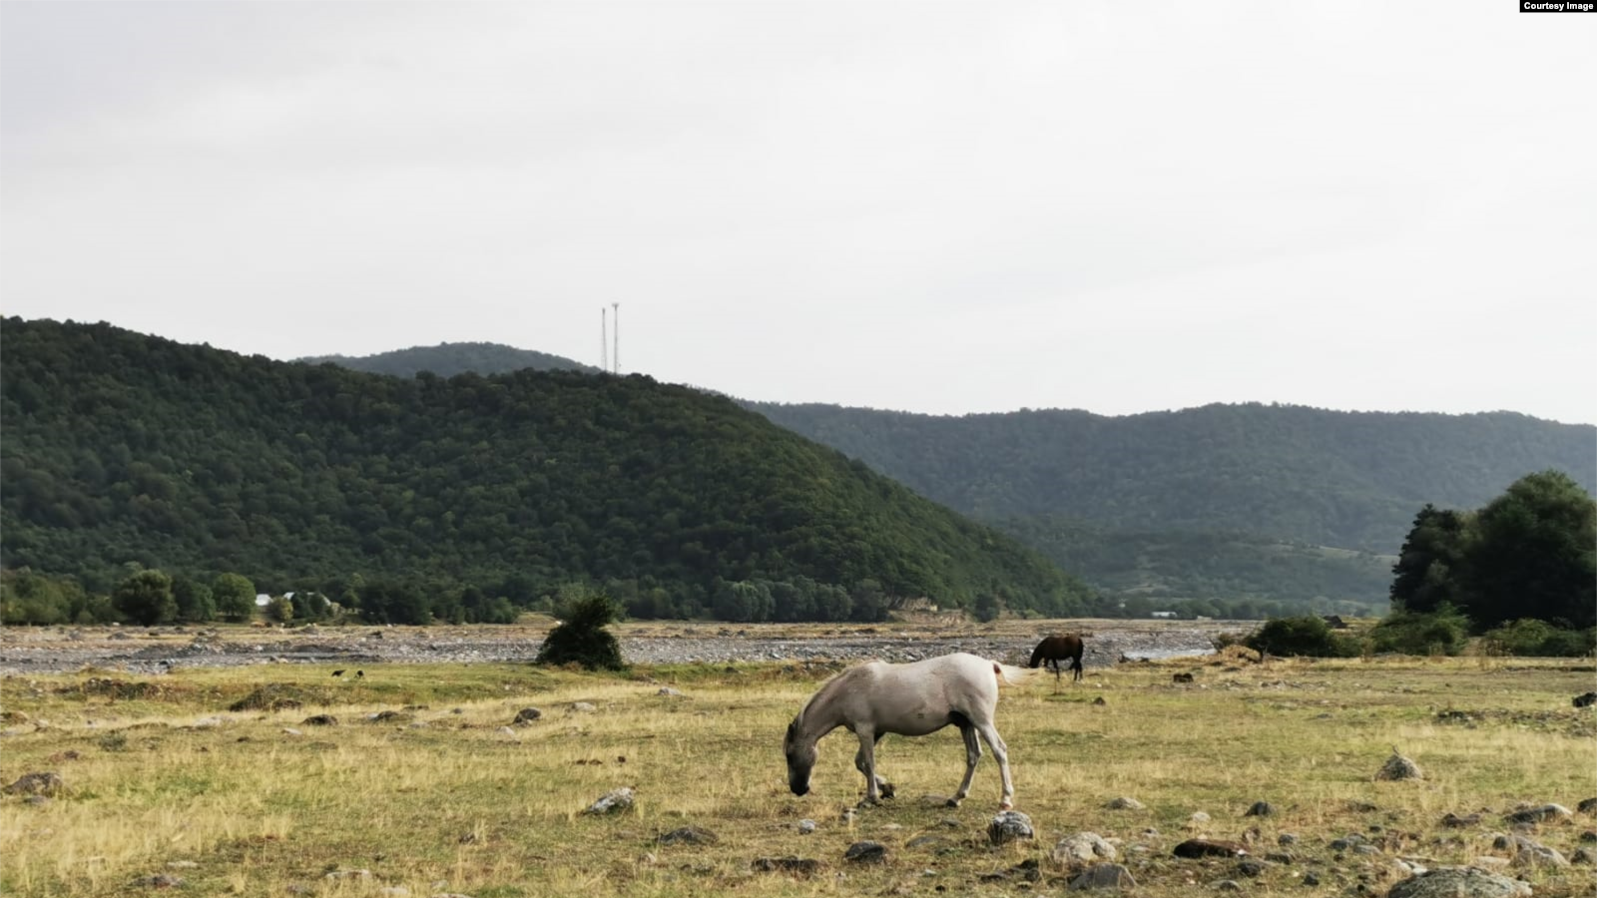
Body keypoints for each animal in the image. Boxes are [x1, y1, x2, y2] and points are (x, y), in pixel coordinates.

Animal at [779, 648, 1028, 805]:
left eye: (789, 755)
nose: (798, 789)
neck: (848, 688)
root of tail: (988, 664)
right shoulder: (876, 732)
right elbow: (860, 763)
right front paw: (888, 788)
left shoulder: (865, 730)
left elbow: (868, 763)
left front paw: (871, 796)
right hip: (966, 724)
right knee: (974, 756)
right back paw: (956, 797)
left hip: (981, 721)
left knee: (999, 751)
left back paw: (1005, 799)